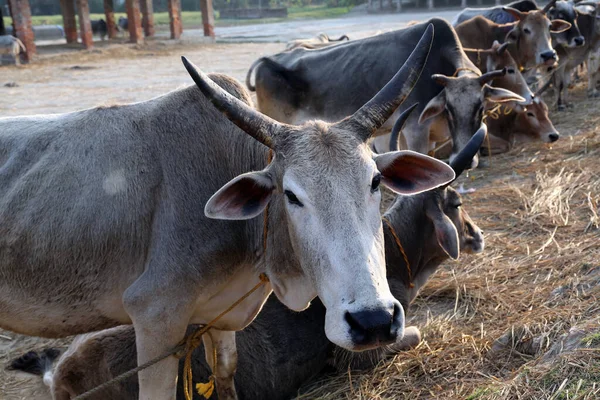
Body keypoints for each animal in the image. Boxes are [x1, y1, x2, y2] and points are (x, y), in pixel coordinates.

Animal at [0, 25, 460, 400]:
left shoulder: (217, 319)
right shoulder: (154, 318)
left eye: (376, 181)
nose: (374, 321)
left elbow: (225, 373)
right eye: (291, 195)